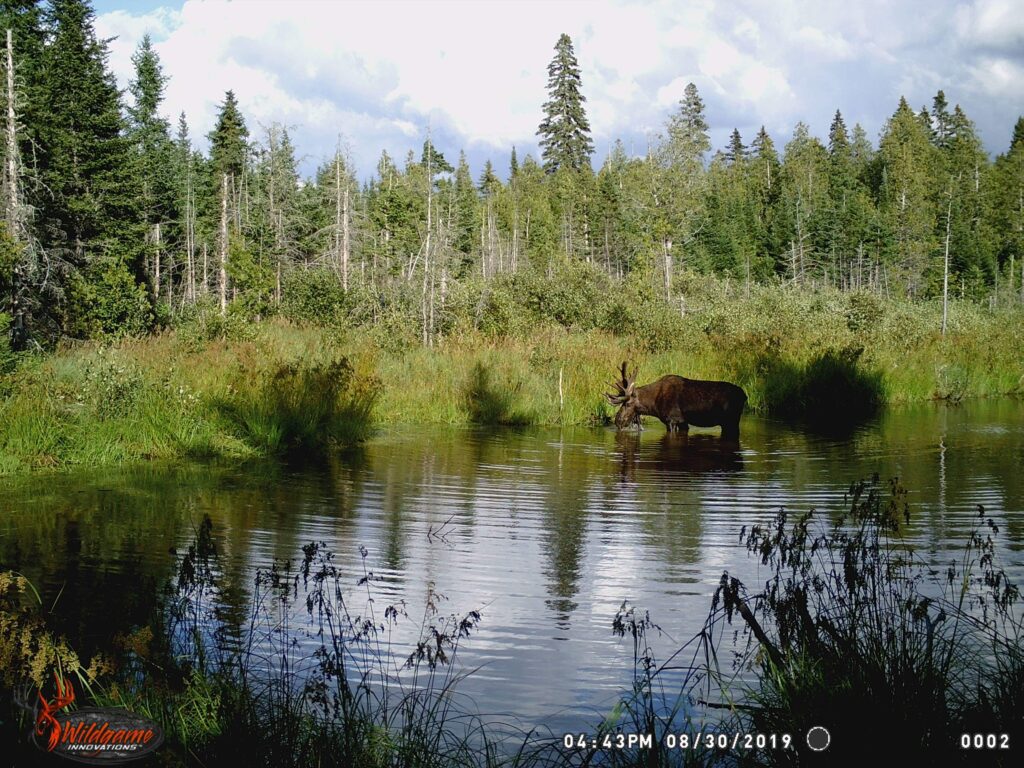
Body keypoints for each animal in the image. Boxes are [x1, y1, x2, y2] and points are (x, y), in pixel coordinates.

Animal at [602, 362, 749, 438]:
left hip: (731, 421)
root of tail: (744, 395)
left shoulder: (671, 420)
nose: (618, 421)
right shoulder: (683, 422)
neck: (654, 405)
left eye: (627, 404)